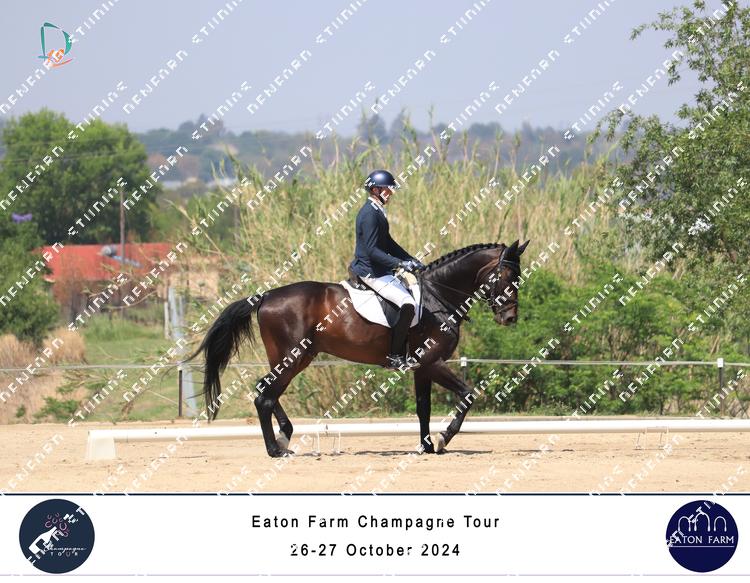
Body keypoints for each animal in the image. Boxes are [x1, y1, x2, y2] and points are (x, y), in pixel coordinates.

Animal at [188, 239, 529, 457]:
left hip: (298, 356)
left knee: (266, 390)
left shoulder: (422, 368)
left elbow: (423, 408)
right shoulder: (433, 362)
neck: (438, 297)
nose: (510, 318)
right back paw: (276, 450)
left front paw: (427, 446)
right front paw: (443, 439)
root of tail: (267, 296)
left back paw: (284, 438)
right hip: (292, 355)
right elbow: (468, 394)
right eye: (508, 275)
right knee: (265, 396)